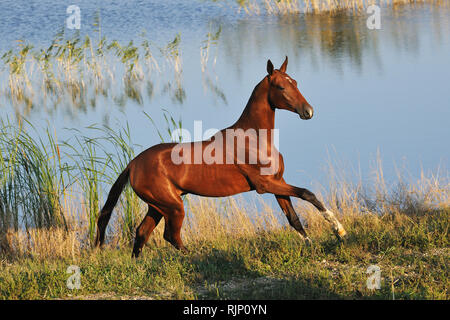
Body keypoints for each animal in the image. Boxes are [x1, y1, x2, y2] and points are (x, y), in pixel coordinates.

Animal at [96, 57, 348, 258]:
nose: (308, 111)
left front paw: (313, 243)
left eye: (295, 82)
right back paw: (197, 258)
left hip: (157, 206)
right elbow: (307, 194)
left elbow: (294, 218)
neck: (253, 139)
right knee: (171, 236)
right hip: (173, 207)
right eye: (280, 86)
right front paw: (339, 230)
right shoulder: (266, 185)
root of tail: (133, 164)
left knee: (142, 232)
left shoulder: (279, 183)